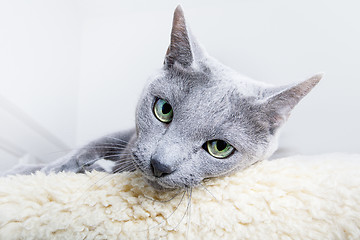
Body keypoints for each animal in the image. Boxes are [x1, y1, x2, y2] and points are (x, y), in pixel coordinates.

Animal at [2, 4, 322, 190]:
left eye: (220, 148)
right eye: (164, 109)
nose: (160, 165)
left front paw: (90, 168)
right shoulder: (126, 134)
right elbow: (89, 145)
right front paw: (43, 169)